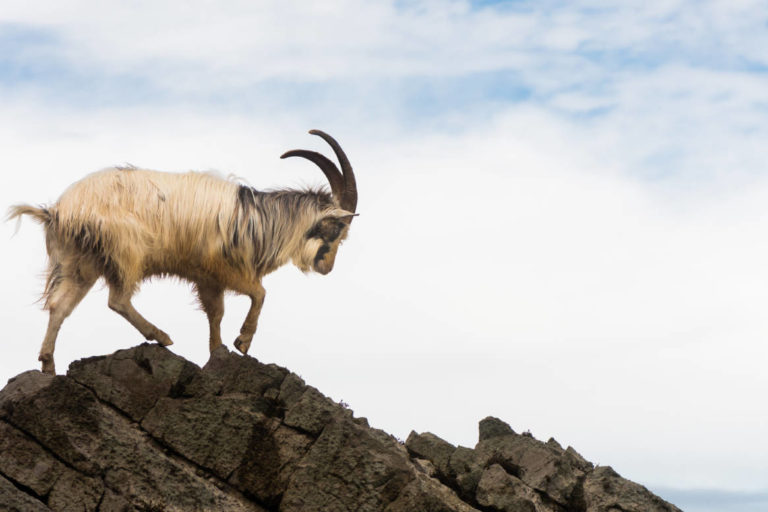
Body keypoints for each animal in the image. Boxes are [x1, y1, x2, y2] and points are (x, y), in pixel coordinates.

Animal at [9, 130, 358, 374]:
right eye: (338, 230)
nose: (327, 267)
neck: (259, 220)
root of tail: (58, 211)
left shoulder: (208, 280)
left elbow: (216, 313)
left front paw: (217, 352)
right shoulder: (223, 268)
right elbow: (259, 294)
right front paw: (242, 342)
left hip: (79, 261)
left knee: (60, 306)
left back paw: (48, 364)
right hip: (125, 250)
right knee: (118, 300)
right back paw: (161, 336)